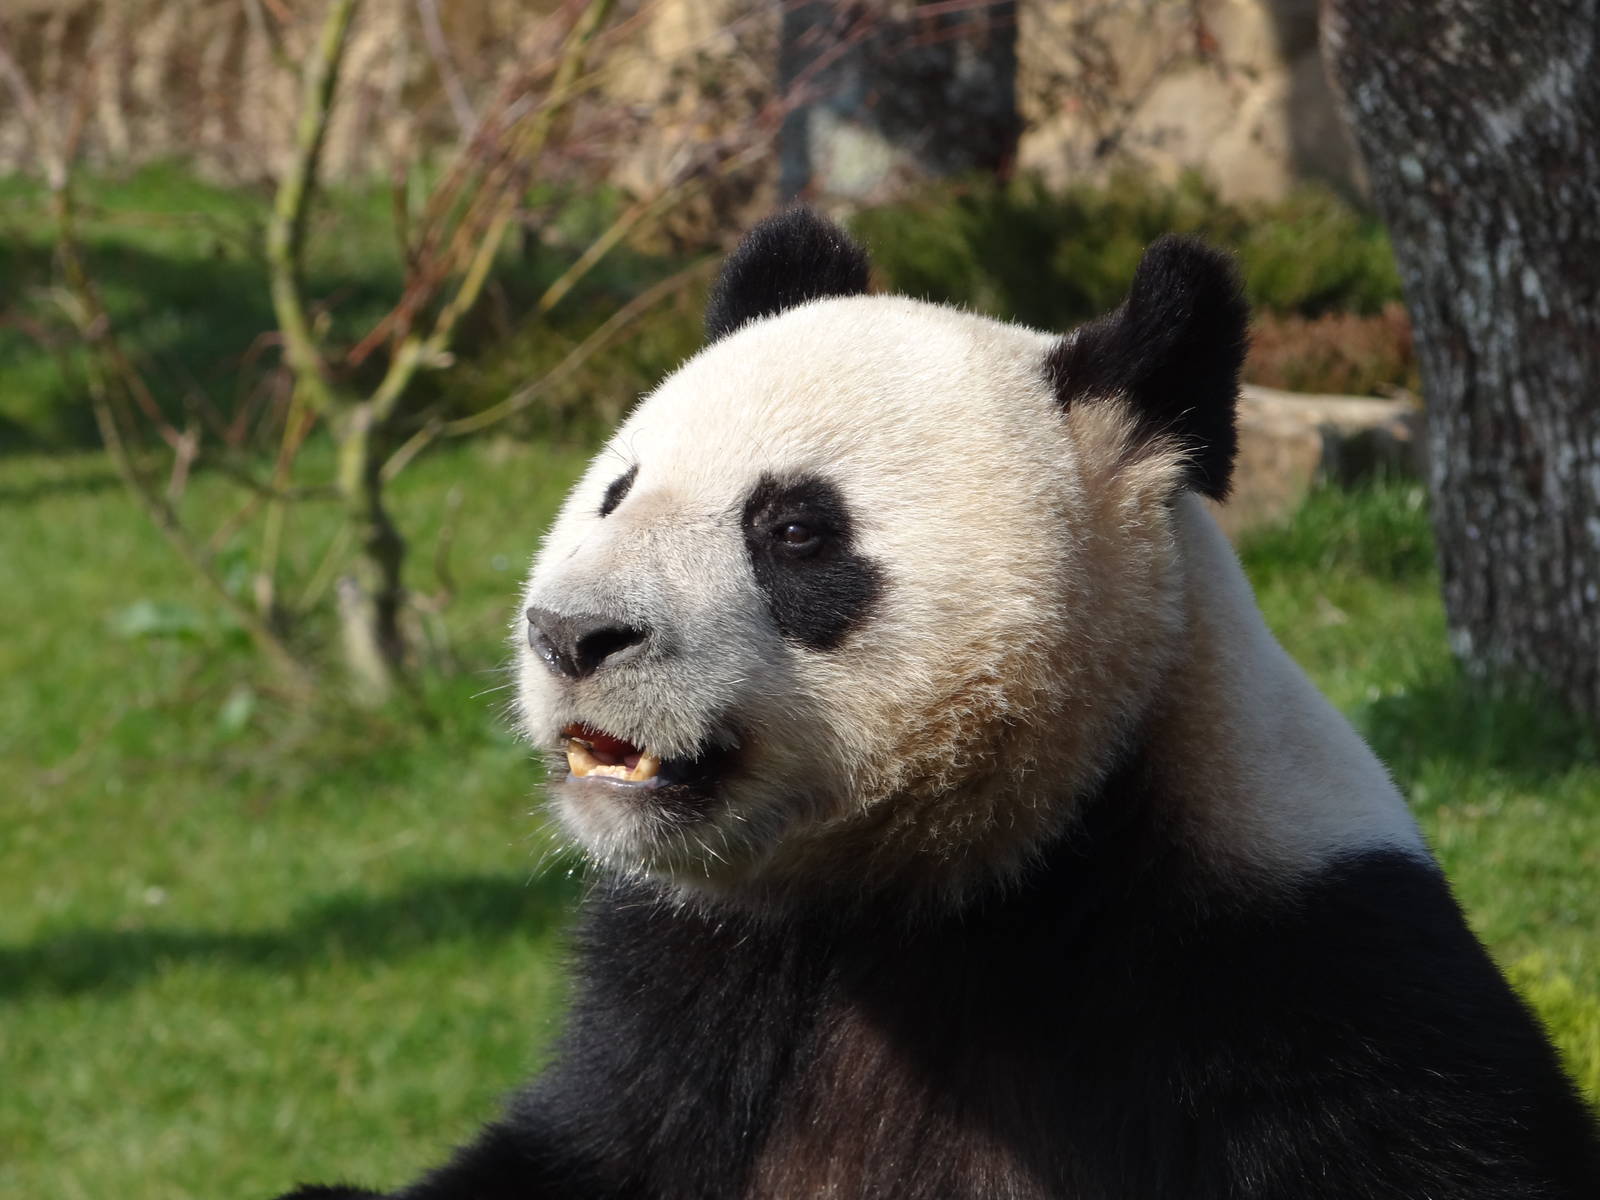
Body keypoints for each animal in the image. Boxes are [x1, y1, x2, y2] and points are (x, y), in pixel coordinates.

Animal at [278, 210, 1600, 1199]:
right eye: (616, 490)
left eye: (794, 530)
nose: (570, 635)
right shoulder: (697, 990)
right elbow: (585, 1146)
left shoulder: (1309, 986)